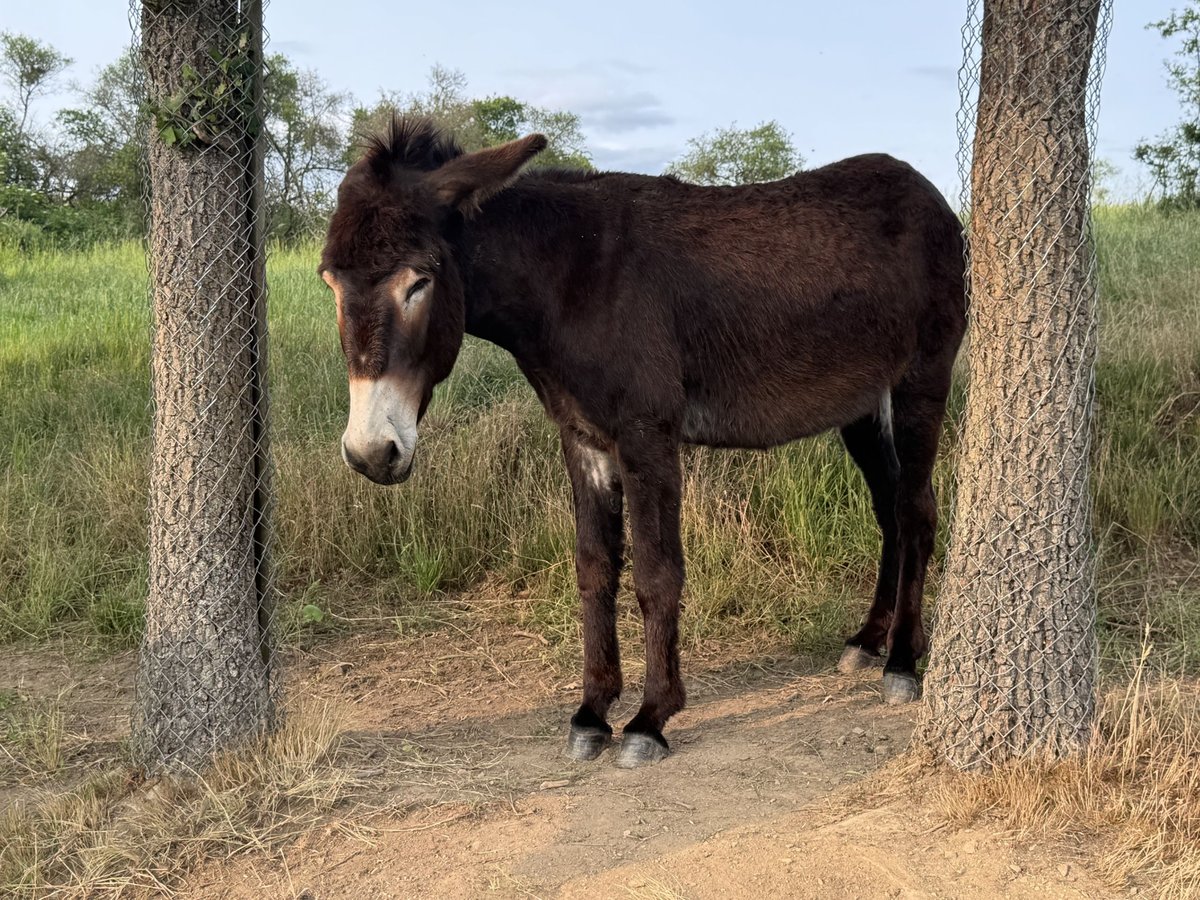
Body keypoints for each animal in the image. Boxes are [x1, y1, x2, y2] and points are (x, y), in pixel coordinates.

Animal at [319, 117, 967, 768]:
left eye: (419, 282)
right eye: (331, 283)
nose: (370, 453)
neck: (567, 282)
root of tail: (925, 191)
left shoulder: (648, 436)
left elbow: (657, 572)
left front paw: (650, 719)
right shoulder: (583, 438)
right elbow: (595, 568)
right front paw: (592, 711)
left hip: (921, 379)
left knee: (916, 511)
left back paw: (902, 661)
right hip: (860, 403)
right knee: (890, 509)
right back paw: (870, 640)